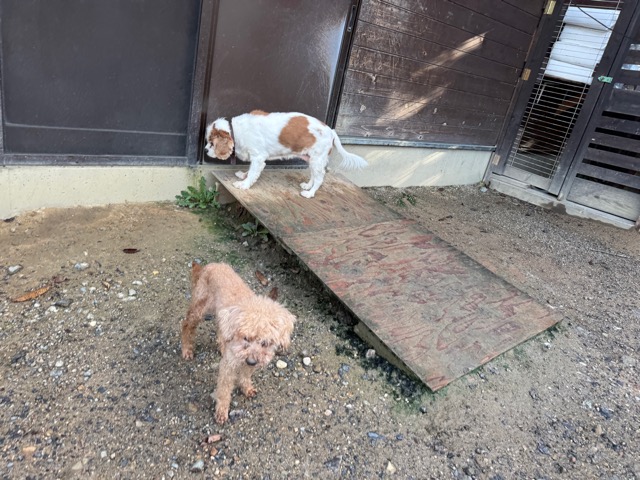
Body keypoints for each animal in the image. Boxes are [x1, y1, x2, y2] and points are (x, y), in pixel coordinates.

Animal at [181, 262, 295, 424]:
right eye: (245, 337)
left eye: (265, 343)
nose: (251, 361)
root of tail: (210, 265)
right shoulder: (228, 366)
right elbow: (224, 390)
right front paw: (222, 411)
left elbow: (245, 376)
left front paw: (246, 388)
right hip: (201, 307)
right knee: (186, 325)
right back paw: (187, 349)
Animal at [205, 110, 368, 198]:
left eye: (211, 143)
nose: (205, 150)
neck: (236, 130)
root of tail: (331, 131)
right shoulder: (255, 158)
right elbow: (250, 170)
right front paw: (243, 176)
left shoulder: (258, 157)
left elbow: (253, 172)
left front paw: (244, 184)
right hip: (311, 159)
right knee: (314, 175)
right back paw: (307, 186)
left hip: (317, 159)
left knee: (320, 178)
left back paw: (310, 193)